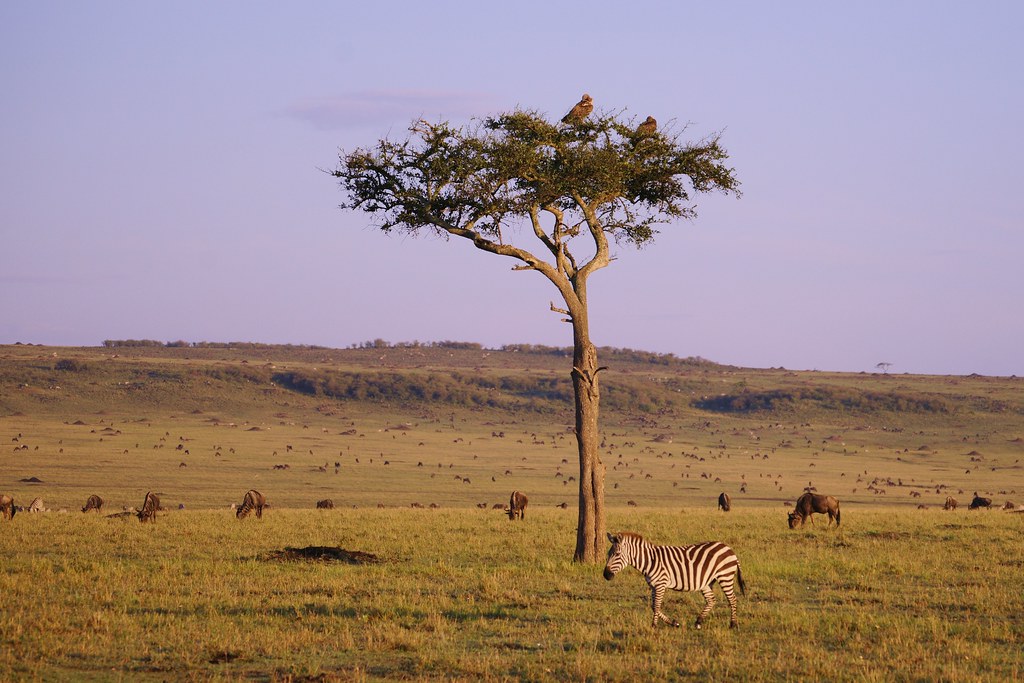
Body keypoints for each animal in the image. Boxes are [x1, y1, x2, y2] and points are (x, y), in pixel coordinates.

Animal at [602, 532, 749, 630]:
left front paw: (654, 625)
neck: (649, 560)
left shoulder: (660, 584)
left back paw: (733, 624)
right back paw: (698, 622)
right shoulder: (654, 585)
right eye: (608, 554)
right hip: (706, 582)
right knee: (711, 600)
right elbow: (653, 606)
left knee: (732, 599)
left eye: (617, 554)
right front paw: (674, 623)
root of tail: (729, 548)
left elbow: (656, 606)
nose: (605, 575)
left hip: (725, 576)